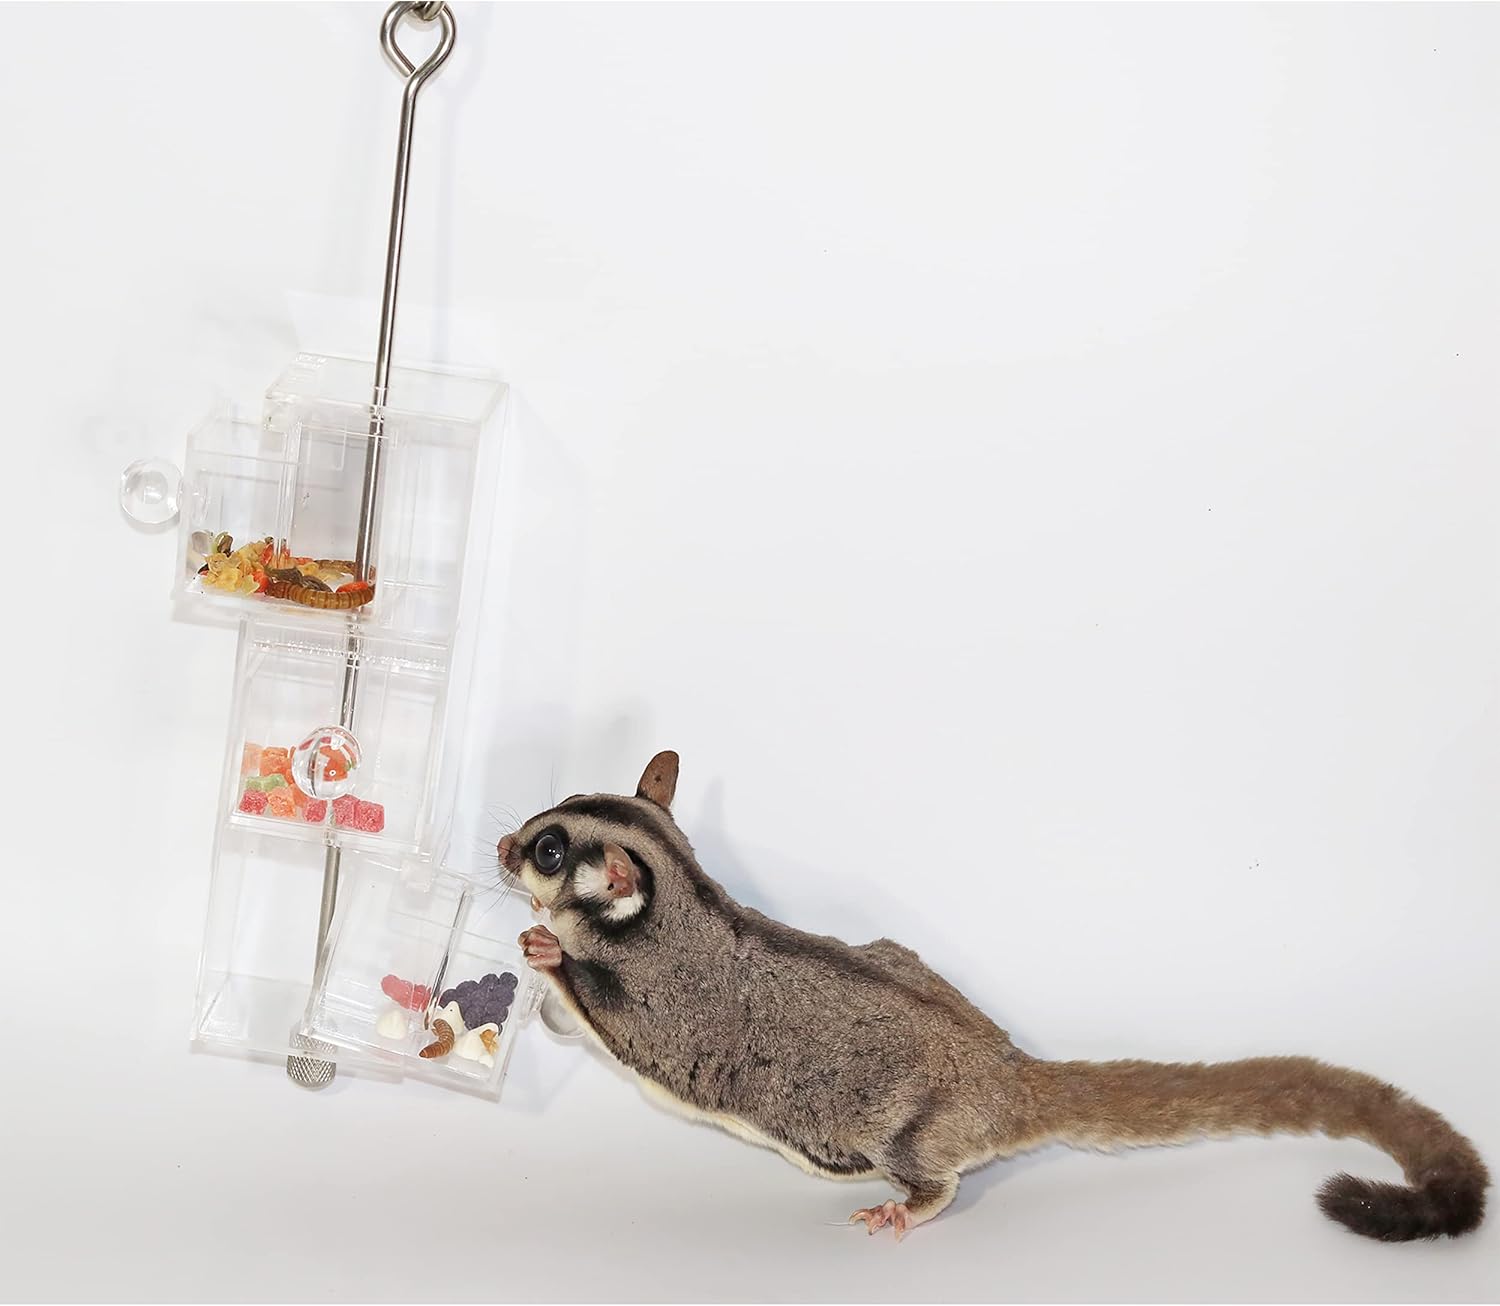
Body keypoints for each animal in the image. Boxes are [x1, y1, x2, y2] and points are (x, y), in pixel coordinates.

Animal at [507, 750, 1487, 1242]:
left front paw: (545, 951)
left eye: (549, 851)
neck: (681, 899)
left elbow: (604, 1010)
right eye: (543, 820)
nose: (503, 846)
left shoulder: (657, 1010)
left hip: (906, 1130)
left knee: (927, 1174)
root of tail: (1010, 1070)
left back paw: (910, 1204)